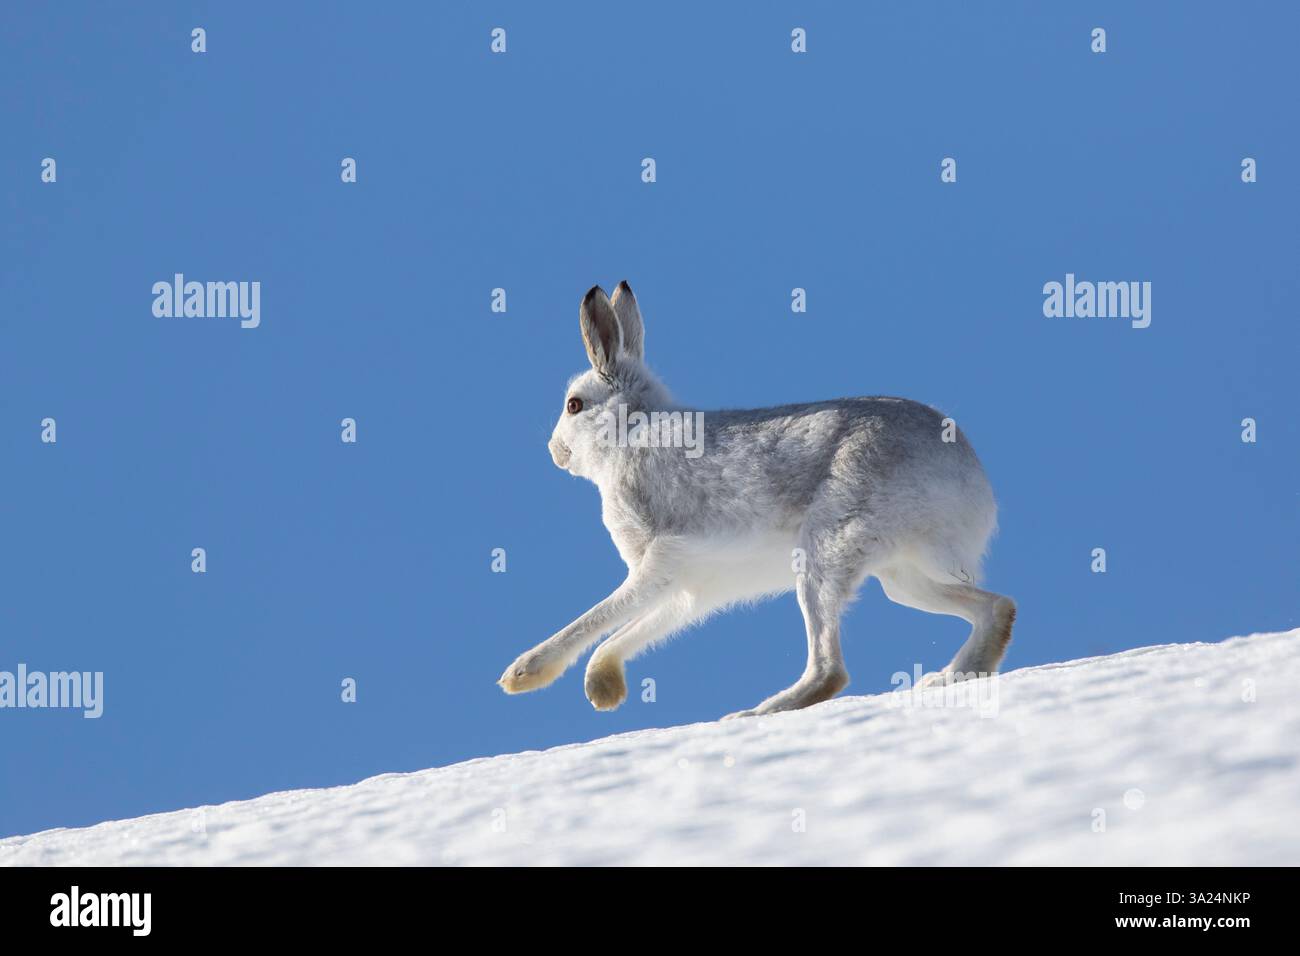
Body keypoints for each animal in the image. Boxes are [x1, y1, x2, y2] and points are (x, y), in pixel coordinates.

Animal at [499, 282, 1016, 718]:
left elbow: (601, 616)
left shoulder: (660, 562)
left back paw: (757, 712)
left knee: (829, 669)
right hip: (903, 577)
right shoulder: (691, 590)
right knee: (996, 609)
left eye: (574, 405)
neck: (631, 429)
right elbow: (634, 629)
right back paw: (945, 678)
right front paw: (604, 686)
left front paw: (525, 674)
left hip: (825, 549)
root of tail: (972, 486)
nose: (555, 452)